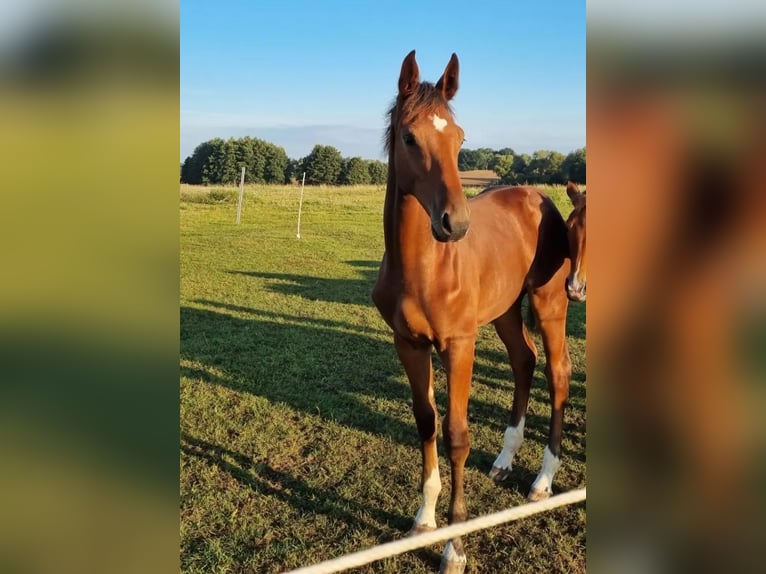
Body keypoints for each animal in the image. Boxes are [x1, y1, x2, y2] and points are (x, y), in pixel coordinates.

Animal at [376, 51, 572, 572]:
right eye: (409, 136)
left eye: (460, 138)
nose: (455, 224)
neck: (422, 269)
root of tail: (538, 196)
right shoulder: (409, 345)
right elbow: (427, 423)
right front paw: (424, 520)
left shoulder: (459, 345)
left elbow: (457, 435)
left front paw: (455, 545)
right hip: (504, 312)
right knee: (524, 361)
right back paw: (505, 460)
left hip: (549, 306)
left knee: (558, 372)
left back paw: (543, 480)